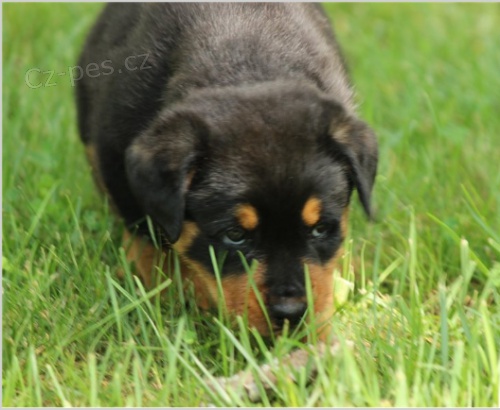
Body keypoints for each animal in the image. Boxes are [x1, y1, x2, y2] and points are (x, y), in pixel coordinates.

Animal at [76, 3, 376, 336]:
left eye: (321, 228)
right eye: (235, 235)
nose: (291, 313)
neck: (250, 65)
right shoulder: (115, 159)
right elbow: (149, 243)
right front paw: (166, 295)